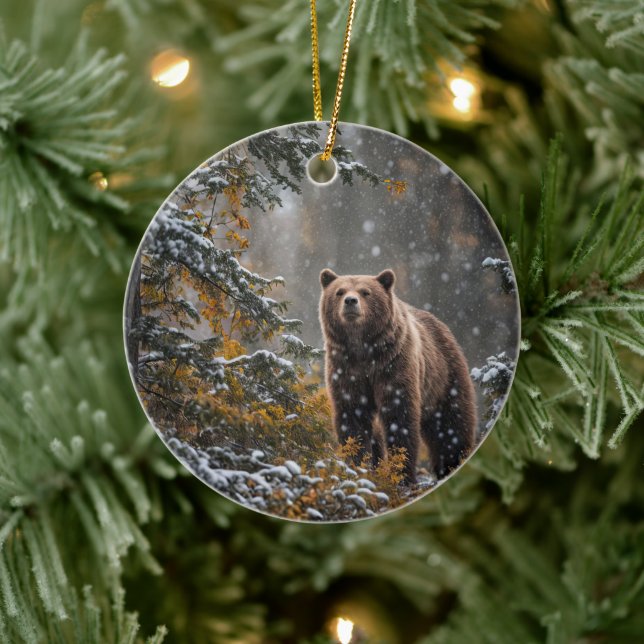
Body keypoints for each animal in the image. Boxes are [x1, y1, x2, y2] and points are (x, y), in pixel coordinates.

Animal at [319, 268, 477, 484]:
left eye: (366, 292)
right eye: (339, 292)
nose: (351, 301)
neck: (362, 349)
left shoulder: (393, 364)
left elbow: (399, 415)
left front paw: (402, 473)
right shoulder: (346, 369)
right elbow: (353, 417)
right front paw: (357, 465)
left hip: (444, 378)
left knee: (451, 425)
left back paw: (452, 464)